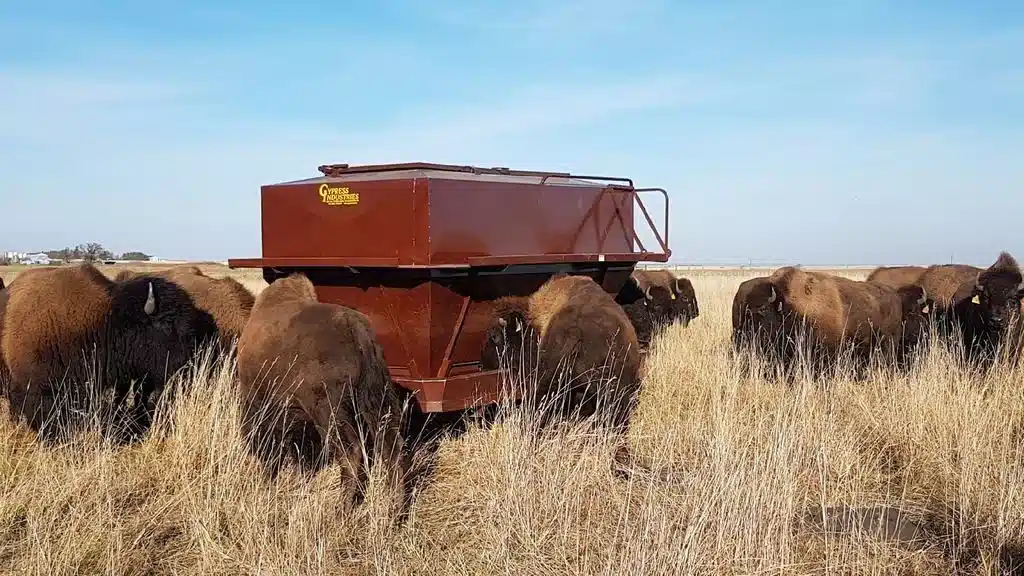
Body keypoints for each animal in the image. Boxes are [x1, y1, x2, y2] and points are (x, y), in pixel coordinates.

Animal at [235, 273, 410, 509]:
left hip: (329, 410)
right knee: (391, 446)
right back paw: (395, 507)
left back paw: (342, 509)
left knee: (351, 451)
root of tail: (356, 330)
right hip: (375, 400)